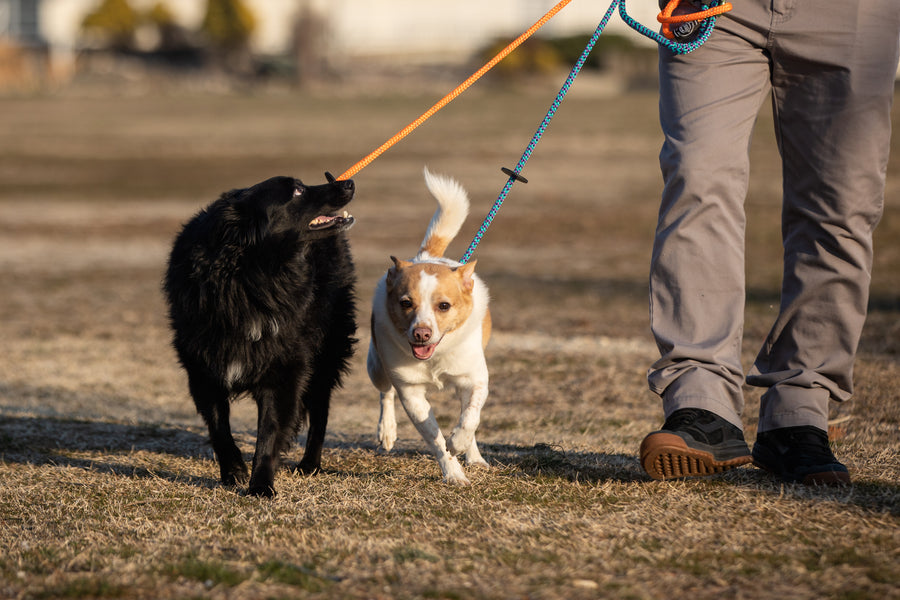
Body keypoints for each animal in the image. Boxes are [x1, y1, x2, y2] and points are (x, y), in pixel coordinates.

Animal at [165, 175, 356, 496]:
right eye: (297, 191)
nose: (349, 182)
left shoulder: (284, 370)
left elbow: (269, 432)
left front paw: (261, 485)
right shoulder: (203, 371)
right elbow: (219, 428)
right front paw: (234, 472)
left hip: (326, 352)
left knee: (320, 410)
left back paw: (310, 465)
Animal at [368, 168, 492, 482]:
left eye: (444, 306)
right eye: (405, 303)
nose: (421, 333)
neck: (435, 356)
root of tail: (424, 257)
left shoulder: (475, 379)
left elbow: (470, 418)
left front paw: (458, 444)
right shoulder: (410, 392)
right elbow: (434, 438)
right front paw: (453, 473)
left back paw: (474, 456)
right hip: (376, 367)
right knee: (385, 393)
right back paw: (387, 432)